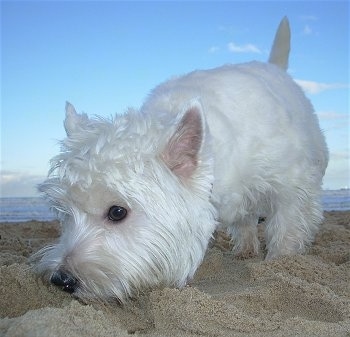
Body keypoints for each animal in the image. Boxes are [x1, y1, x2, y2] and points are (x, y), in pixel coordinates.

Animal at [33, 17, 328, 302]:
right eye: (65, 212)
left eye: (117, 212)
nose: (62, 280)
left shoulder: (293, 184)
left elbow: (287, 226)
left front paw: (280, 262)